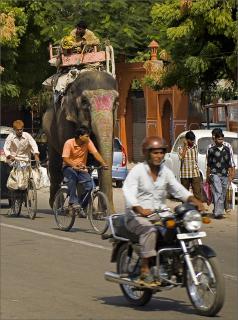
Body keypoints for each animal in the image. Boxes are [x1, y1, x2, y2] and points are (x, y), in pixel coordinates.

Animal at [42, 70, 118, 210]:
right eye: (84, 102)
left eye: (116, 103)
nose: (110, 210)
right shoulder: (65, 122)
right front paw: (83, 209)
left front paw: (101, 212)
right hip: (49, 131)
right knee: (55, 167)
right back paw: (57, 205)